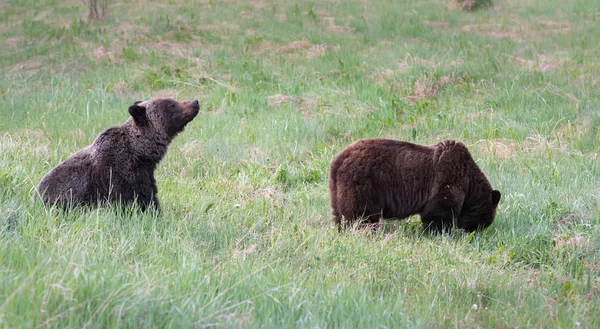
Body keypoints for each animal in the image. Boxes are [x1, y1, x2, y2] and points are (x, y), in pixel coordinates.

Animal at [38, 97, 200, 210]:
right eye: (172, 104)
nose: (195, 102)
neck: (141, 153)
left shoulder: (146, 173)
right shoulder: (121, 174)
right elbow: (138, 201)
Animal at [328, 138, 502, 231]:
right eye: (483, 223)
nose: (472, 233)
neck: (469, 185)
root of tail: (339, 159)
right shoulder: (448, 178)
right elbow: (439, 210)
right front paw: (438, 231)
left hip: (336, 188)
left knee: (340, 213)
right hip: (365, 181)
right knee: (362, 213)